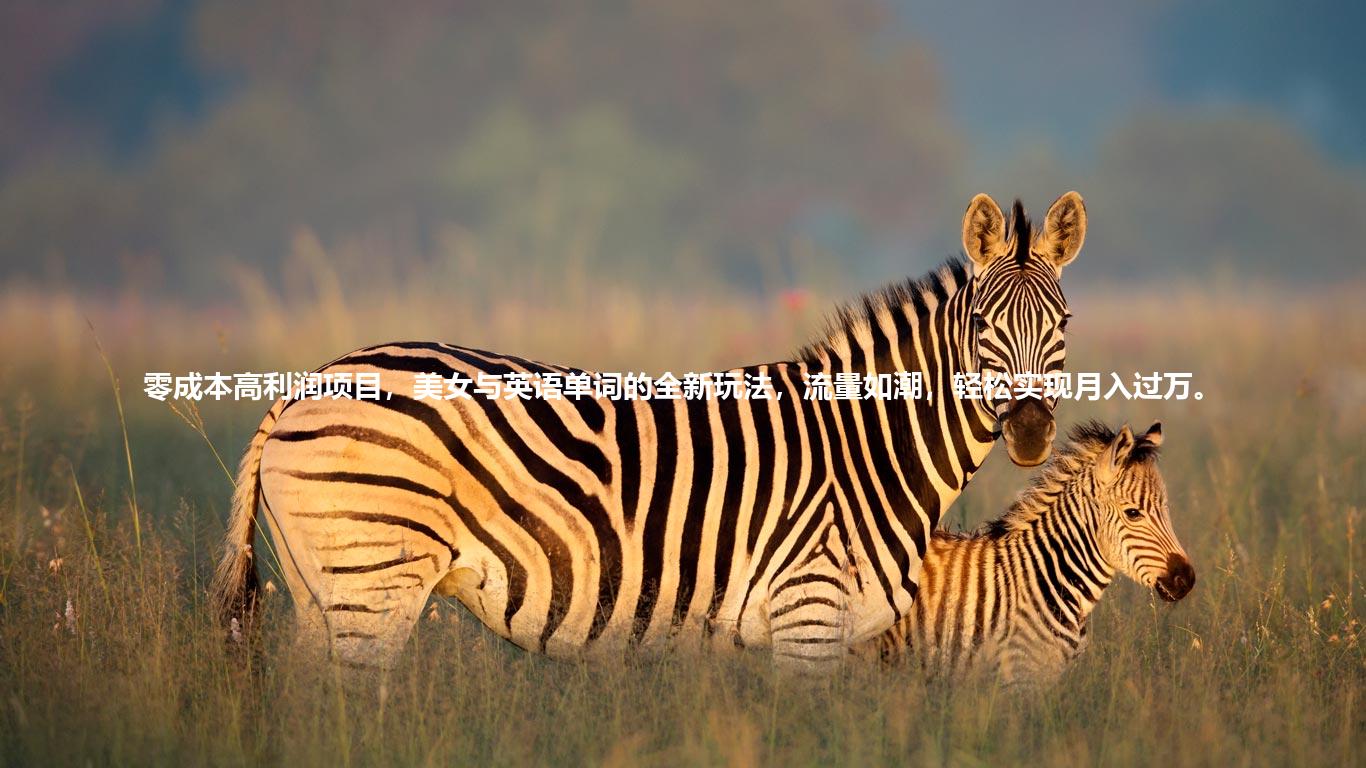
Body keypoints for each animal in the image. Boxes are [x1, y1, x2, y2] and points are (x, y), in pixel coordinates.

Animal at [210, 191, 1087, 669]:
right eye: (983, 326)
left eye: (1064, 324)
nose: (1031, 431)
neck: (865, 448)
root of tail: (300, 389)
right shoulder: (809, 614)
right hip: (372, 577)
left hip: (321, 591)